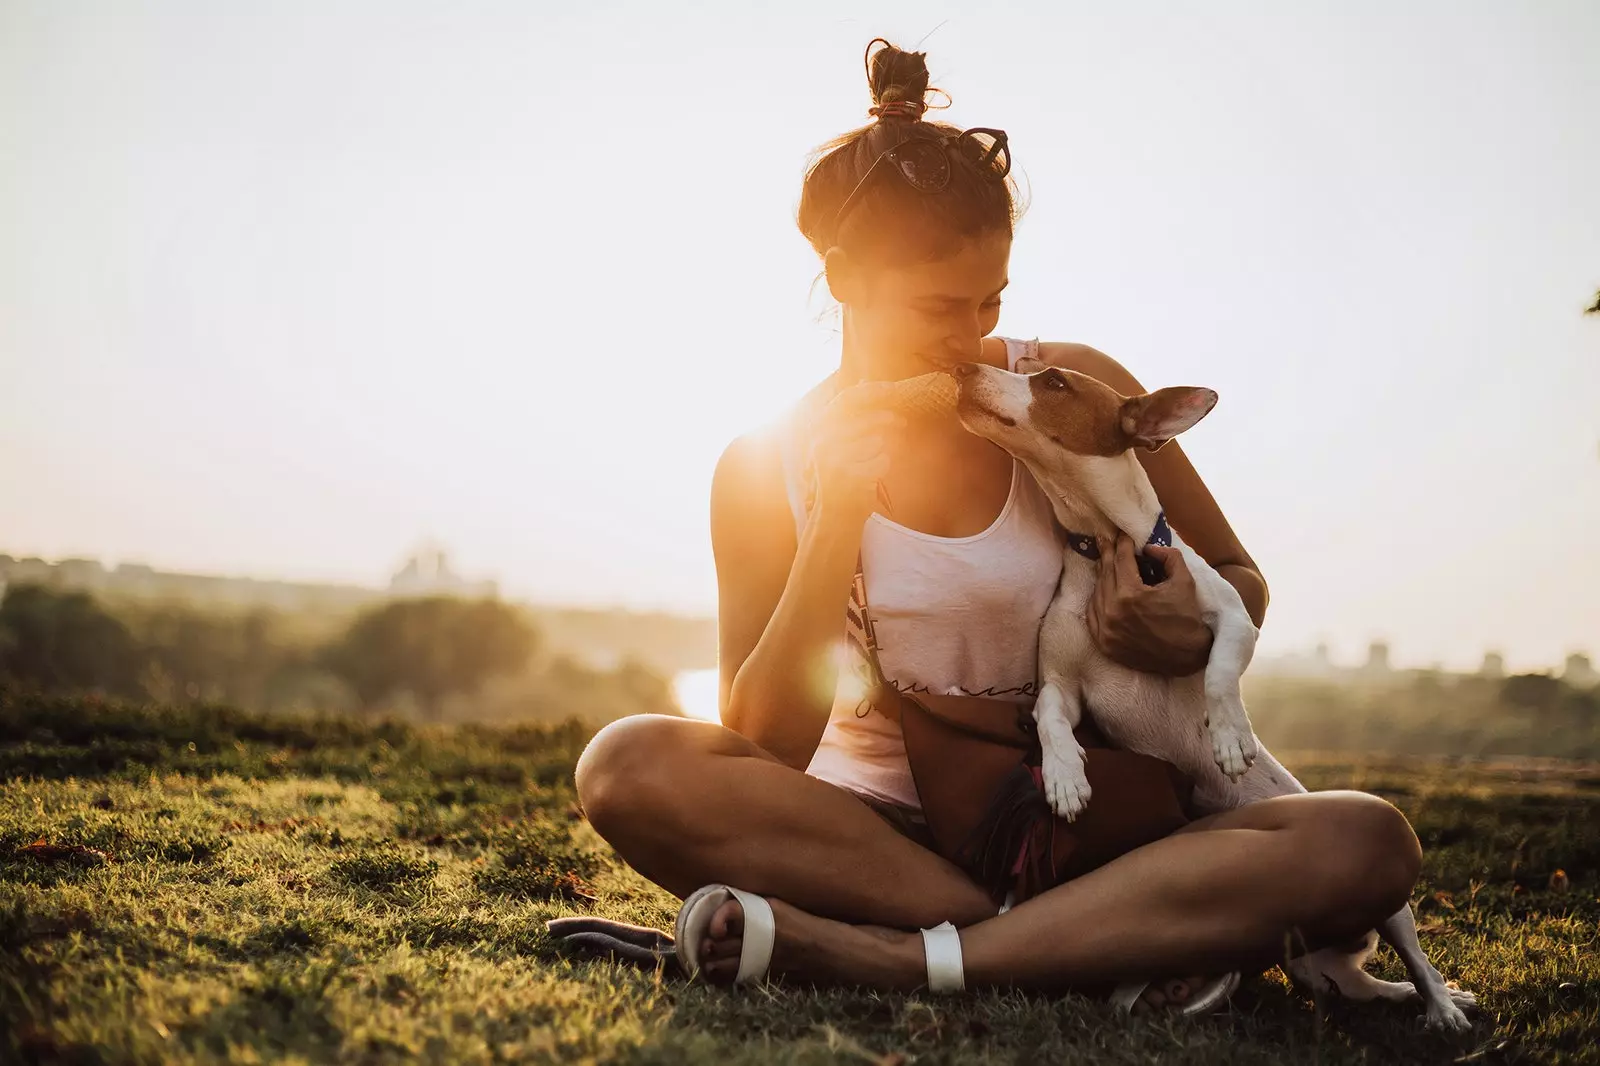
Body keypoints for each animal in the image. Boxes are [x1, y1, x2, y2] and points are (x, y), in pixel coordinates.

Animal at [947, 356, 1472, 1030]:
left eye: (1055, 381)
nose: (962, 367)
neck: (1104, 546)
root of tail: (1340, 953)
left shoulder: (1232, 621)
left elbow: (1221, 675)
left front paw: (1228, 740)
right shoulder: (1061, 685)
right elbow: (1049, 719)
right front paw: (1065, 778)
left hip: (1396, 908)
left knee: (1417, 958)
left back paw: (1443, 1007)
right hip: (1313, 966)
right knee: (1362, 988)